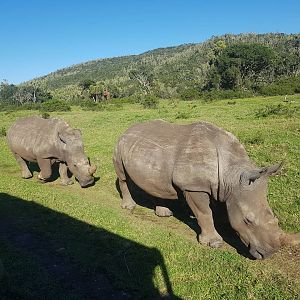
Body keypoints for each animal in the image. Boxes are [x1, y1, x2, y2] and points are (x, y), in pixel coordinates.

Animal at [113, 120, 298, 258]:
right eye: (248, 220)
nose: (269, 253)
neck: (231, 175)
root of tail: (127, 128)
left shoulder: (222, 189)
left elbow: (220, 210)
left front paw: (226, 228)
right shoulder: (194, 187)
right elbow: (204, 212)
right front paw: (214, 242)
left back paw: (164, 214)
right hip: (119, 145)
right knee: (122, 177)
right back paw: (129, 207)